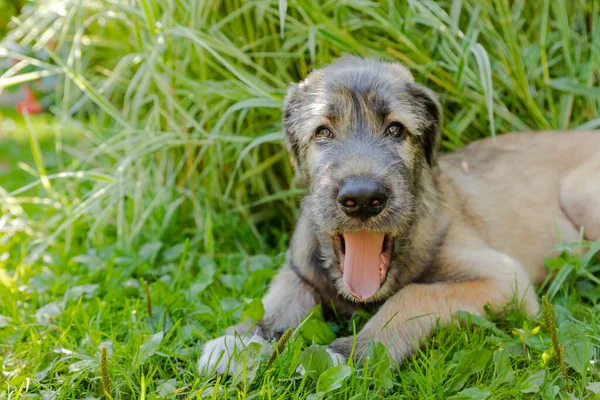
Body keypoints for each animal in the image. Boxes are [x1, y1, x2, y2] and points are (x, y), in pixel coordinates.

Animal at [198, 54, 600, 374]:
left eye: (396, 129)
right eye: (322, 132)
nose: (362, 199)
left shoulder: (504, 280)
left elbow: (414, 295)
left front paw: (350, 352)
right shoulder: (300, 270)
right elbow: (275, 302)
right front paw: (240, 340)